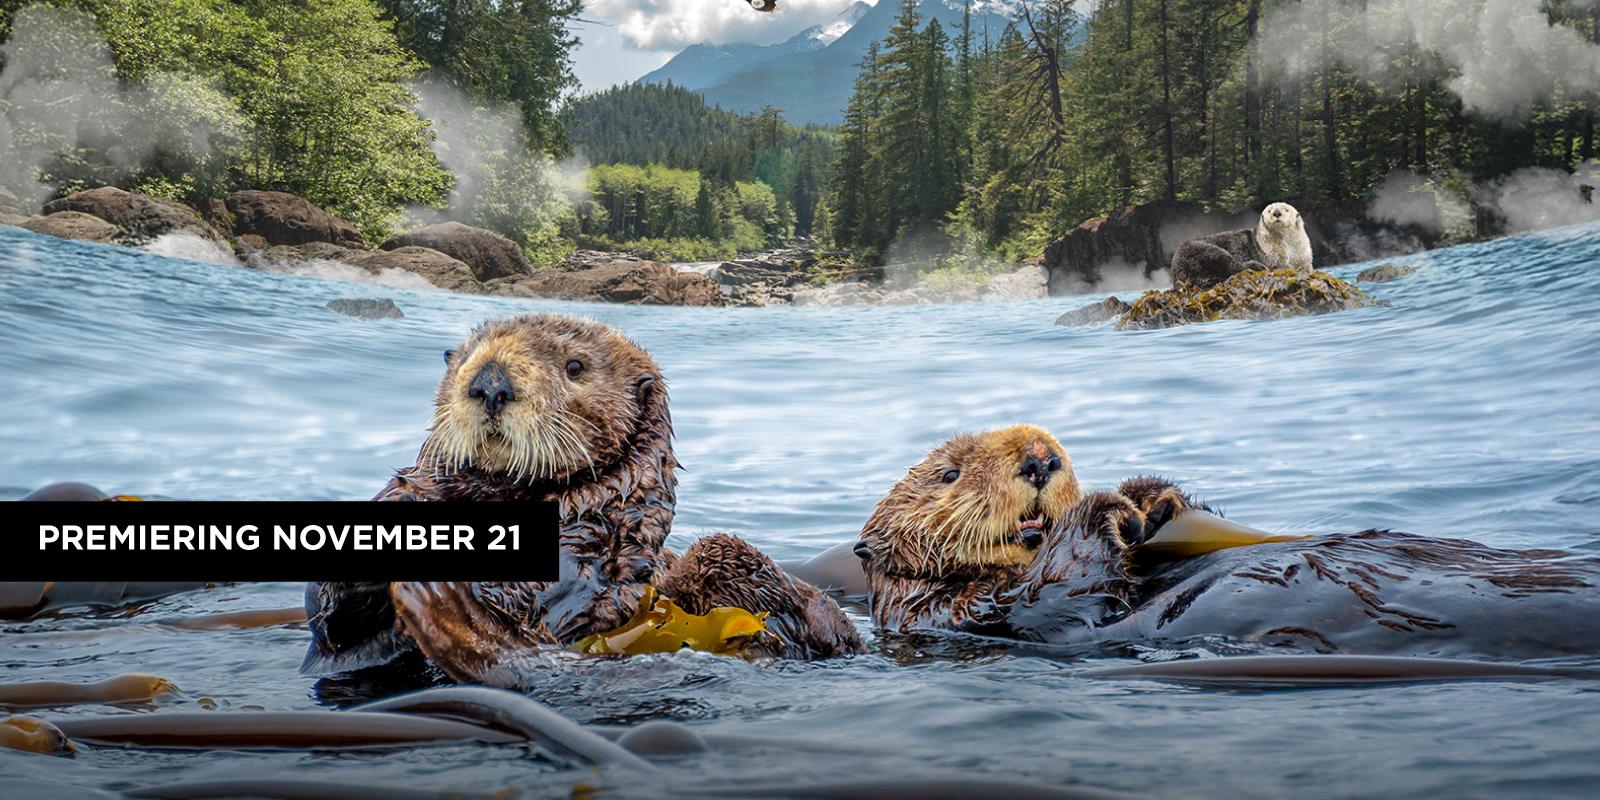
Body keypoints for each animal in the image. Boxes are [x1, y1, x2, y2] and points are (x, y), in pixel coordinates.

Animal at [854, 425, 1600, 659]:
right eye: (950, 474)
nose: (1041, 457)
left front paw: (1155, 498)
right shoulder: (968, 614)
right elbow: (1061, 593)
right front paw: (1109, 506)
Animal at [1171, 202, 1314, 289]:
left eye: (1286, 210)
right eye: (1269, 211)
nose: (1276, 213)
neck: (1289, 247)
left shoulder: (1305, 257)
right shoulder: (1273, 256)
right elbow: (1280, 265)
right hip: (1205, 251)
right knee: (1232, 266)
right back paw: (1257, 266)